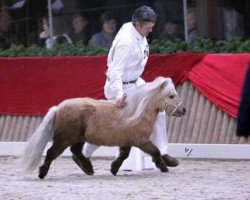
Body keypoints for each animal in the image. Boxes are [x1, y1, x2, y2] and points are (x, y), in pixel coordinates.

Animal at [20, 76, 186, 178]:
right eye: (171, 96)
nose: (183, 110)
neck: (136, 112)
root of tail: (58, 108)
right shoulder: (142, 141)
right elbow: (156, 151)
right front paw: (164, 167)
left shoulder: (128, 141)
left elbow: (123, 155)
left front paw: (113, 168)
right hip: (63, 139)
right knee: (51, 153)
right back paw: (42, 173)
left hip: (78, 138)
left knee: (76, 151)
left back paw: (88, 168)